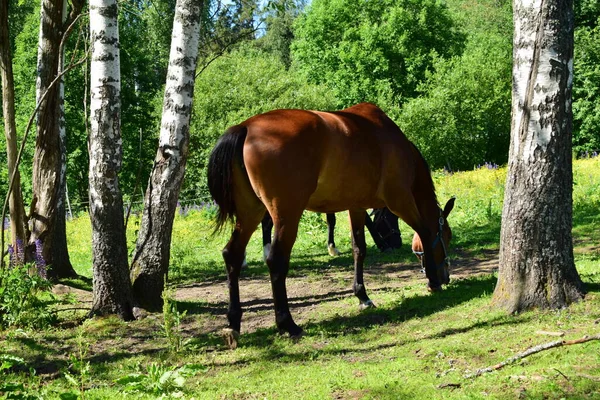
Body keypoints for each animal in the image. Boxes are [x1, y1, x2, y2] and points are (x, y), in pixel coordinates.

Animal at [207, 102, 454, 346]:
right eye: (447, 237)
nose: (446, 276)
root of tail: (246, 127)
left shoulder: (356, 207)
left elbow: (359, 249)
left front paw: (362, 296)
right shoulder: (400, 200)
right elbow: (424, 231)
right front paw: (433, 282)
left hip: (251, 212)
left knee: (232, 254)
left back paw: (233, 322)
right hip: (286, 214)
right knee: (276, 260)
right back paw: (288, 324)